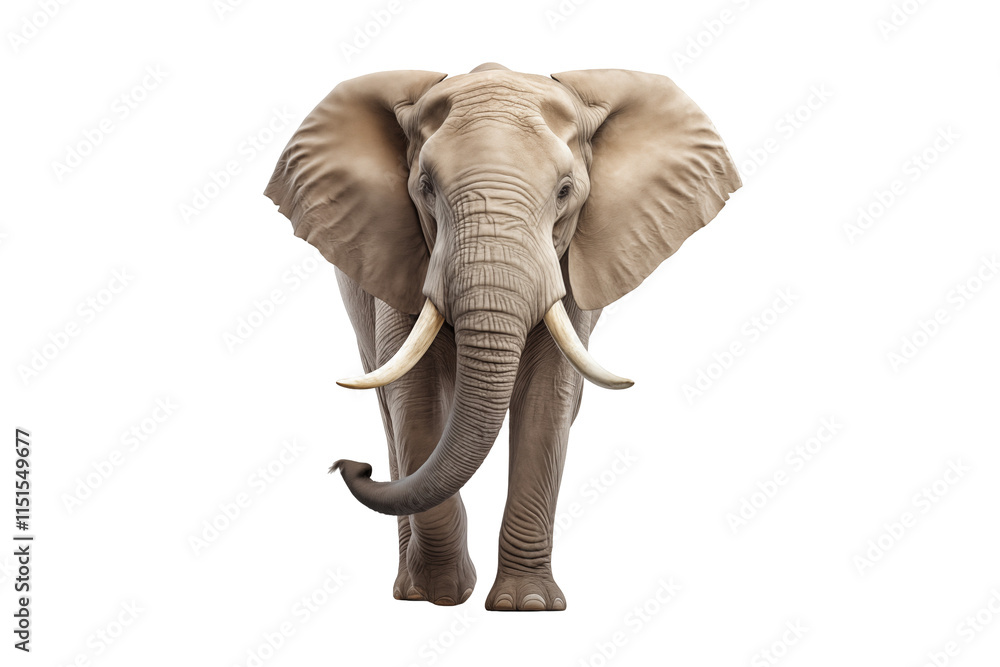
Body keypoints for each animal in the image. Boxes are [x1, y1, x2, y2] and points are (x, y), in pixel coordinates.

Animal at [264, 63, 740, 611]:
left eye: (565, 192)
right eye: (425, 186)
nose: (350, 465)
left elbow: (548, 399)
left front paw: (527, 604)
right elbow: (416, 397)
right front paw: (441, 595)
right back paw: (408, 591)